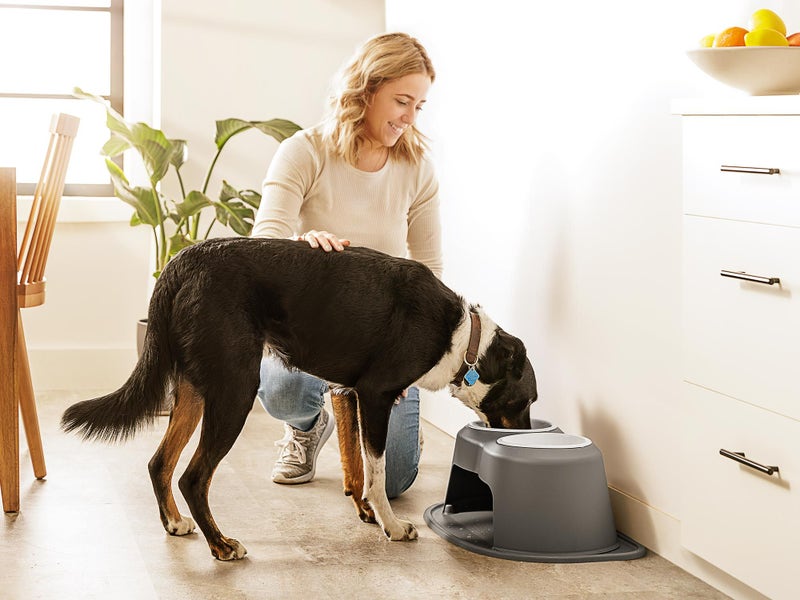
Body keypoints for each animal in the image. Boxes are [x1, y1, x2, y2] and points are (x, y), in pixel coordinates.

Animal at [62, 237, 538, 560]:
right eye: (527, 401)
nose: (530, 439)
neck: (463, 337)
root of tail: (182, 261)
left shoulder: (349, 394)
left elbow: (356, 465)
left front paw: (365, 511)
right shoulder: (377, 395)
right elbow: (378, 470)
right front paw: (391, 525)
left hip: (196, 388)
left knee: (160, 462)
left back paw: (176, 523)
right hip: (235, 390)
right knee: (193, 477)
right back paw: (221, 545)